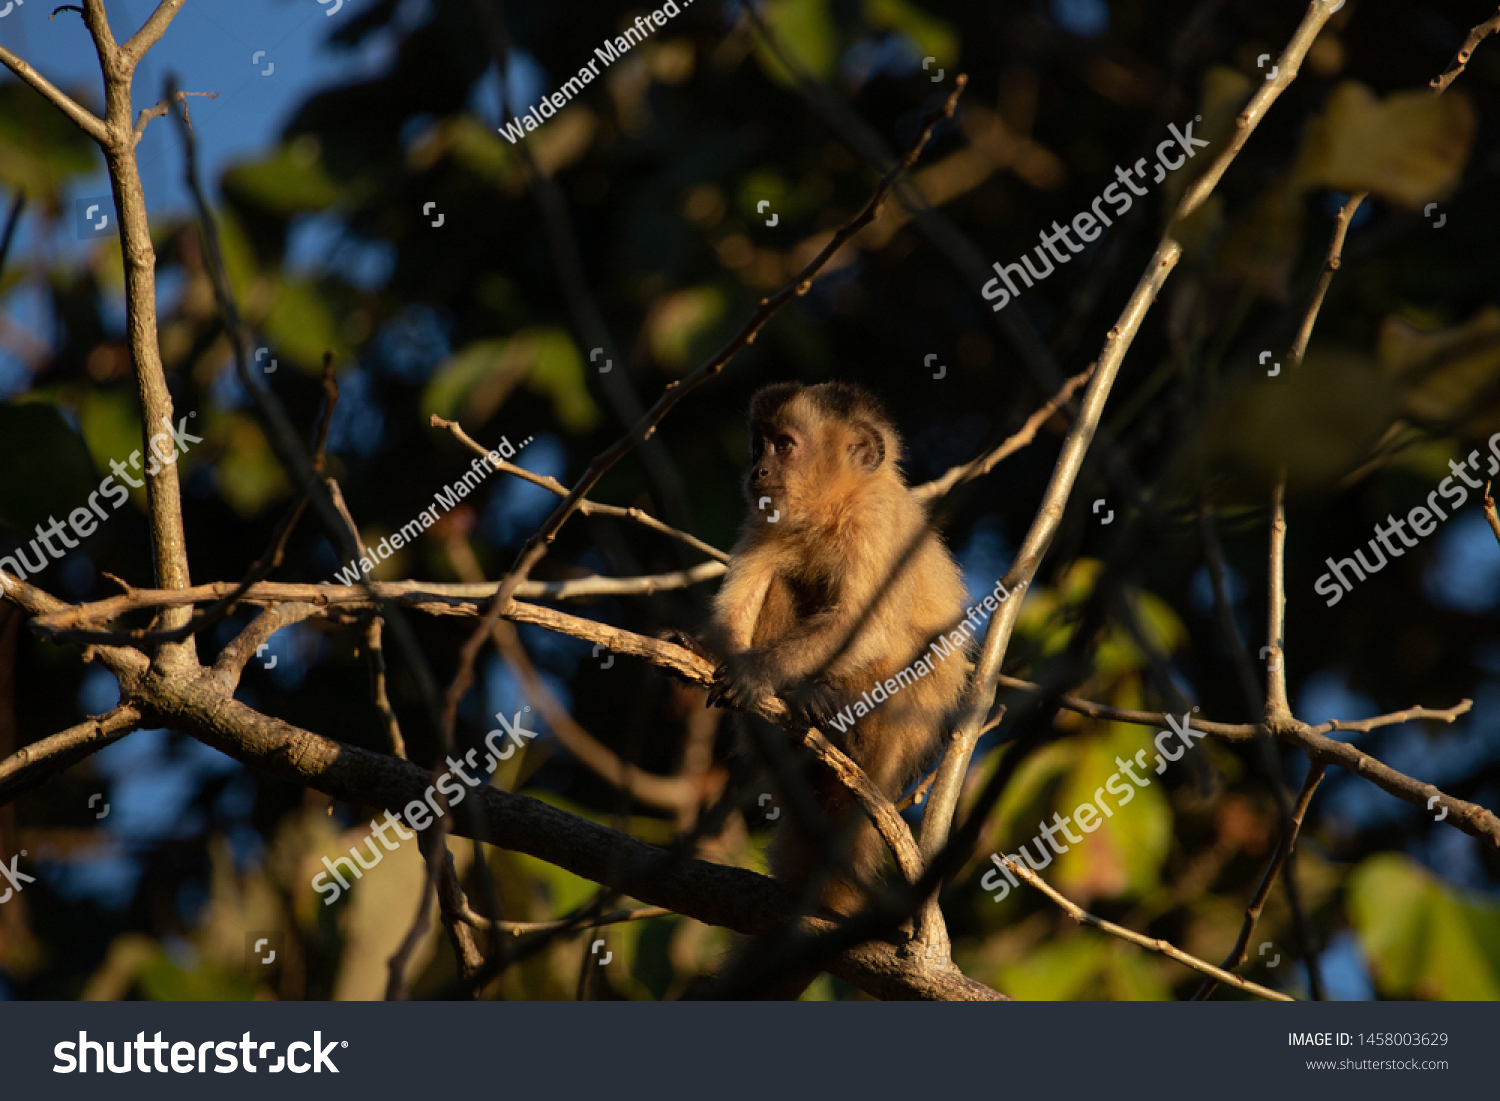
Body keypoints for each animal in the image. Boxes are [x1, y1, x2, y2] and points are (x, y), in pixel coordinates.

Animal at [705, 384, 966, 930]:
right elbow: (730, 614)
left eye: (784, 445)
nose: (757, 470)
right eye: (758, 446)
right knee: (781, 582)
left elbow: (870, 629)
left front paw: (759, 673)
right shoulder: (767, 518)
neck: (833, 508)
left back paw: (833, 716)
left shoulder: (875, 521)